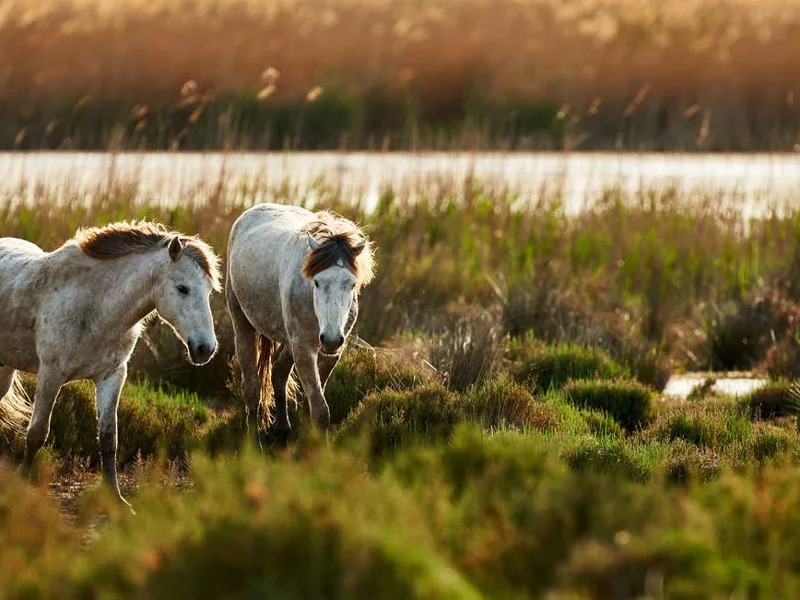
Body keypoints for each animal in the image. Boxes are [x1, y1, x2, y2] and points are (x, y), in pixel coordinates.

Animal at [0, 221, 221, 506]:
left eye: (208, 290)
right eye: (182, 288)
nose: (206, 348)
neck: (96, 306)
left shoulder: (112, 376)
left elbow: (108, 438)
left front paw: (116, 499)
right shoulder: (51, 374)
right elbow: (37, 433)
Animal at [226, 203, 375, 441]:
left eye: (352, 284)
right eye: (317, 282)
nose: (331, 339)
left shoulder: (329, 354)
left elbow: (314, 405)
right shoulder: (304, 349)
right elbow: (320, 410)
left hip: (289, 339)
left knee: (278, 372)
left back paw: (282, 430)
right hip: (243, 324)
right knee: (252, 388)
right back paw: (253, 442)